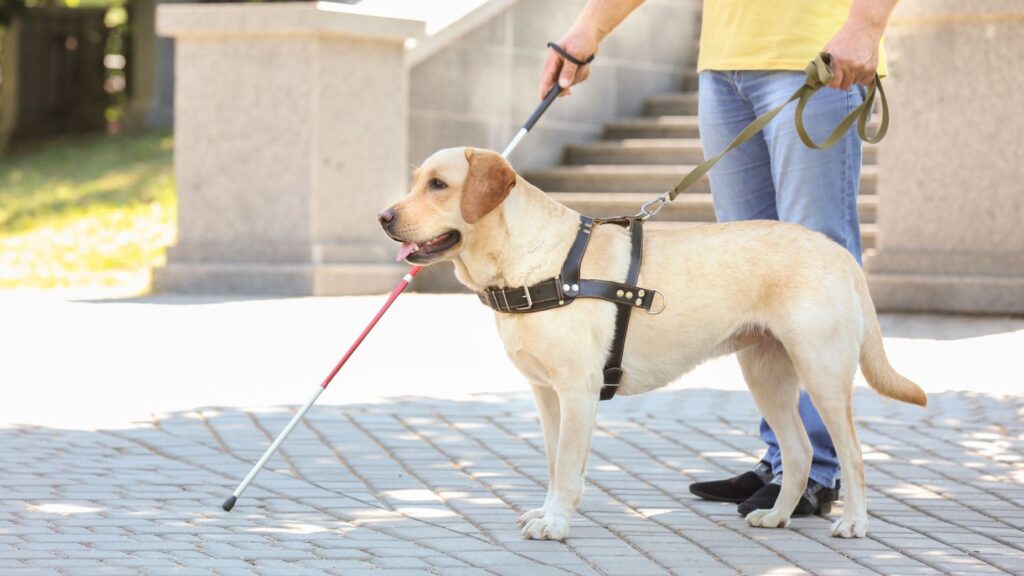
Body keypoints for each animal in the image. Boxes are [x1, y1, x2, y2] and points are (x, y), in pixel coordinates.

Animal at [378, 145, 929, 541]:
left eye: (439, 185)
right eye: (416, 180)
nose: (383, 216)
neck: (534, 263)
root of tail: (839, 252)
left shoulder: (577, 392)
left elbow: (568, 468)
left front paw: (555, 523)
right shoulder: (546, 395)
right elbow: (554, 464)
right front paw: (548, 511)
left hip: (822, 370)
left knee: (850, 452)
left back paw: (854, 521)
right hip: (766, 374)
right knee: (798, 452)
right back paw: (775, 516)